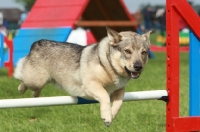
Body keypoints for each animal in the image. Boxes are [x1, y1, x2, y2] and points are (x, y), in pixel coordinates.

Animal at [14, 27, 152, 127]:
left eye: (144, 52)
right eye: (127, 51)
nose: (138, 66)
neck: (109, 67)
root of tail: (37, 43)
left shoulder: (120, 90)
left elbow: (119, 103)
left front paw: (110, 116)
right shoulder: (91, 84)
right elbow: (105, 96)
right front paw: (106, 116)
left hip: (41, 82)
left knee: (35, 89)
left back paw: (35, 95)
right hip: (35, 79)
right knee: (22, 76)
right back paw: (21, 89)